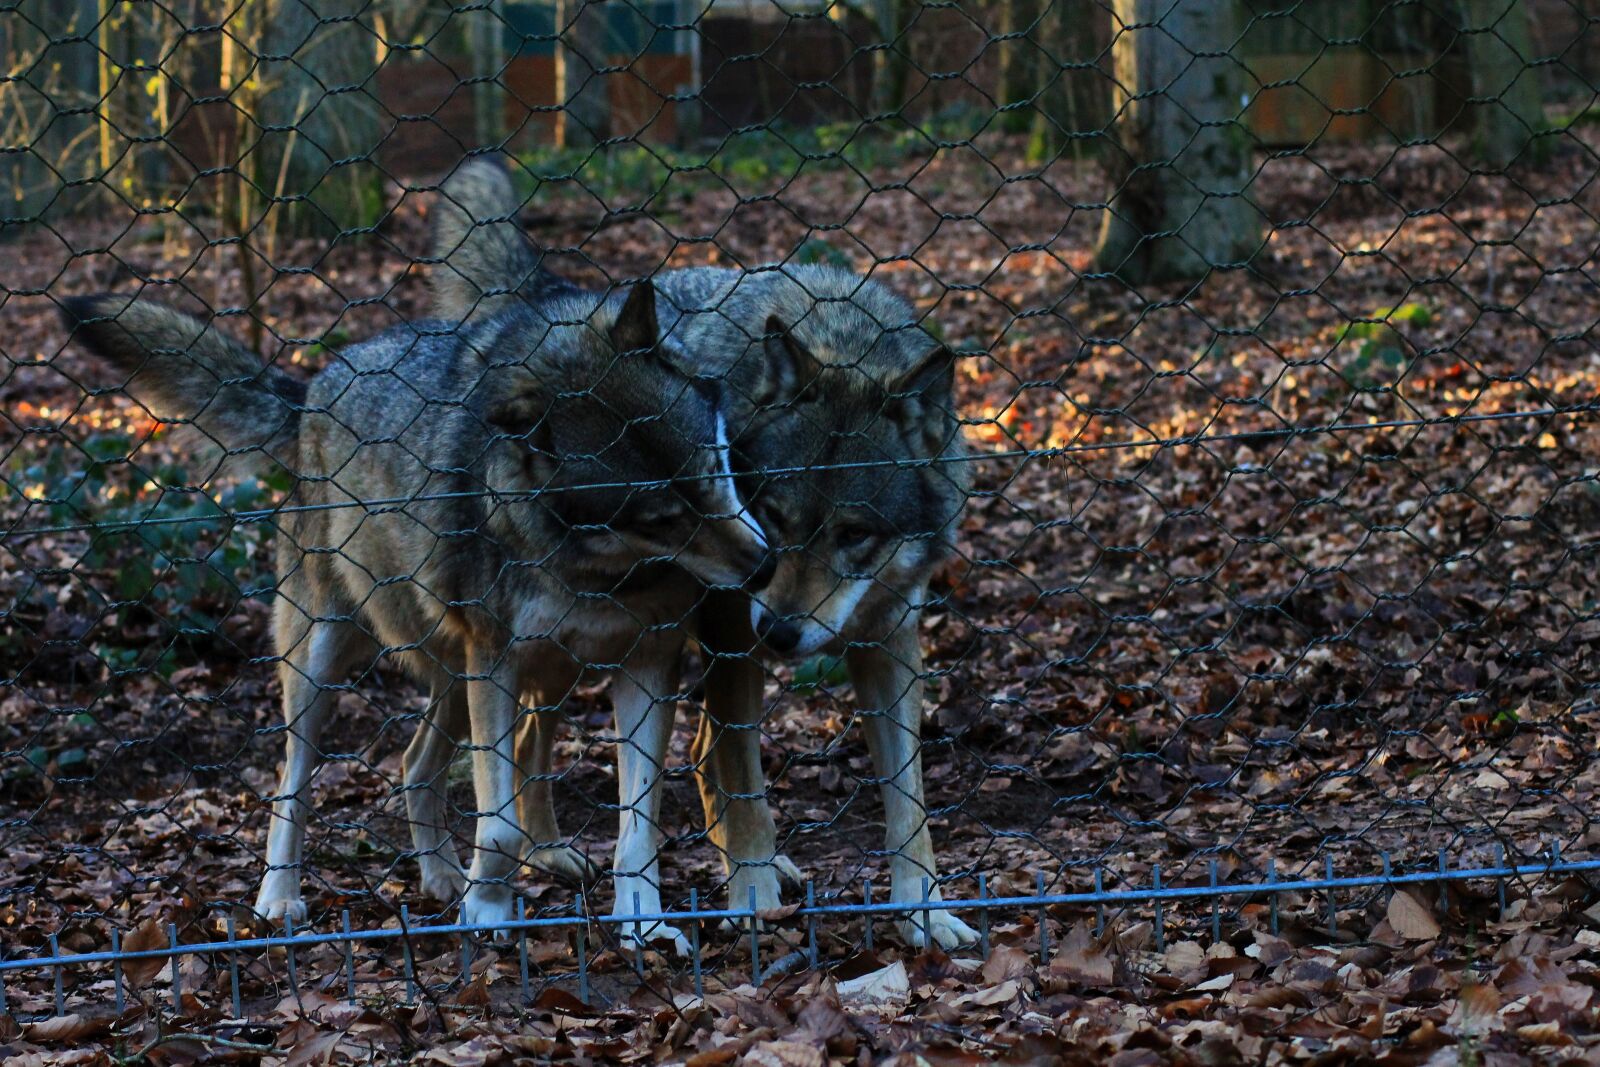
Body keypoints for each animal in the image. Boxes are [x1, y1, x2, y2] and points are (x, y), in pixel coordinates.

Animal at [62, 244, 772, 947]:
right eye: (661, 518)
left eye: (715, 465)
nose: (762, 568)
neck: (597, 570)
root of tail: (312, 391)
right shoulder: (497, 663)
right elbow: (498, 825)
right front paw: (488, 913)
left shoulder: (647, 664)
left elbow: (636, 826)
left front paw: (645, 923)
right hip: (328, 669)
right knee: (293, 784)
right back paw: (280, 900)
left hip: (488, 679)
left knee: (413, 763)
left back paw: (442, 877)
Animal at [427, 157, 979, 949]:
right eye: (773, 514)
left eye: (853, 535)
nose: (779, 630)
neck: (837, 334)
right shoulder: (730, 637)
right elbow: (743, 776)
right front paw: (749, 894)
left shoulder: (888, 640)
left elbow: (909, 802)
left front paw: (925, 910)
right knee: (563, 739)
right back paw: (557, 856)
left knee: (650, 748)